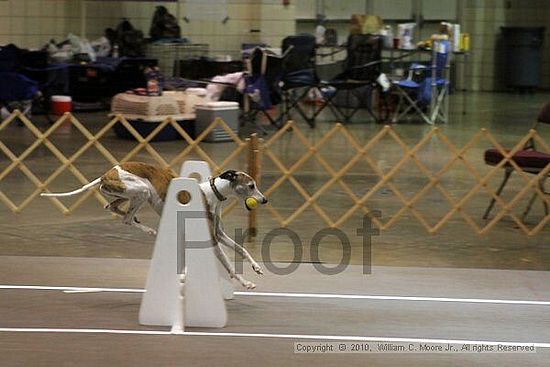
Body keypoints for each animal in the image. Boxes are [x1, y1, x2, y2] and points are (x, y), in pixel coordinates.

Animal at [41, 162, 270, 288]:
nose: (264, 200)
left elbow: (241, 249)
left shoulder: (219, 234)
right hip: (142, 190)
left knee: (112, 207)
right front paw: (246, 283)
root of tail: (106, 174)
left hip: (127, 194)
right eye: (251, 186)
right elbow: (229, 265)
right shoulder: (212, 240)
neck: (211, 194)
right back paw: (149, 229)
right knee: (124, 218)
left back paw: (138, 221)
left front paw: (256, 267)